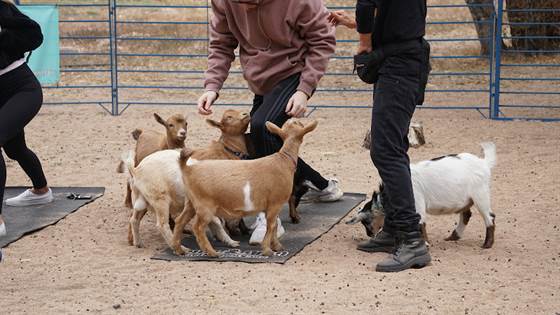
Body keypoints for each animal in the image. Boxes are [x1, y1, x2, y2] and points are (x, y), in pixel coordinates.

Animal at [171, 119, 318, 258]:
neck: (283, 160)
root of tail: (188, 168)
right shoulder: (274, 204)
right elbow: (271, 226)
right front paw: (267, 250)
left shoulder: (270, 206)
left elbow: (274, 226)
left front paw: (276, 246)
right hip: (204, 206)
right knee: (198, 227)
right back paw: (212, 252)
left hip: (191, 202)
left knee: (180, 221)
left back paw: (179, 249)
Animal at [348, 143, 496, 249]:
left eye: (366, 221)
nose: (369, 234)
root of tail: (484, 163)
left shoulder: (417, 204)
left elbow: (420, 223)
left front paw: (424, 244)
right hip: (466, 200)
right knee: (466, 215)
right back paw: (453, 237)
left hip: (480, 195)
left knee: (490, 217)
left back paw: (486, 245)